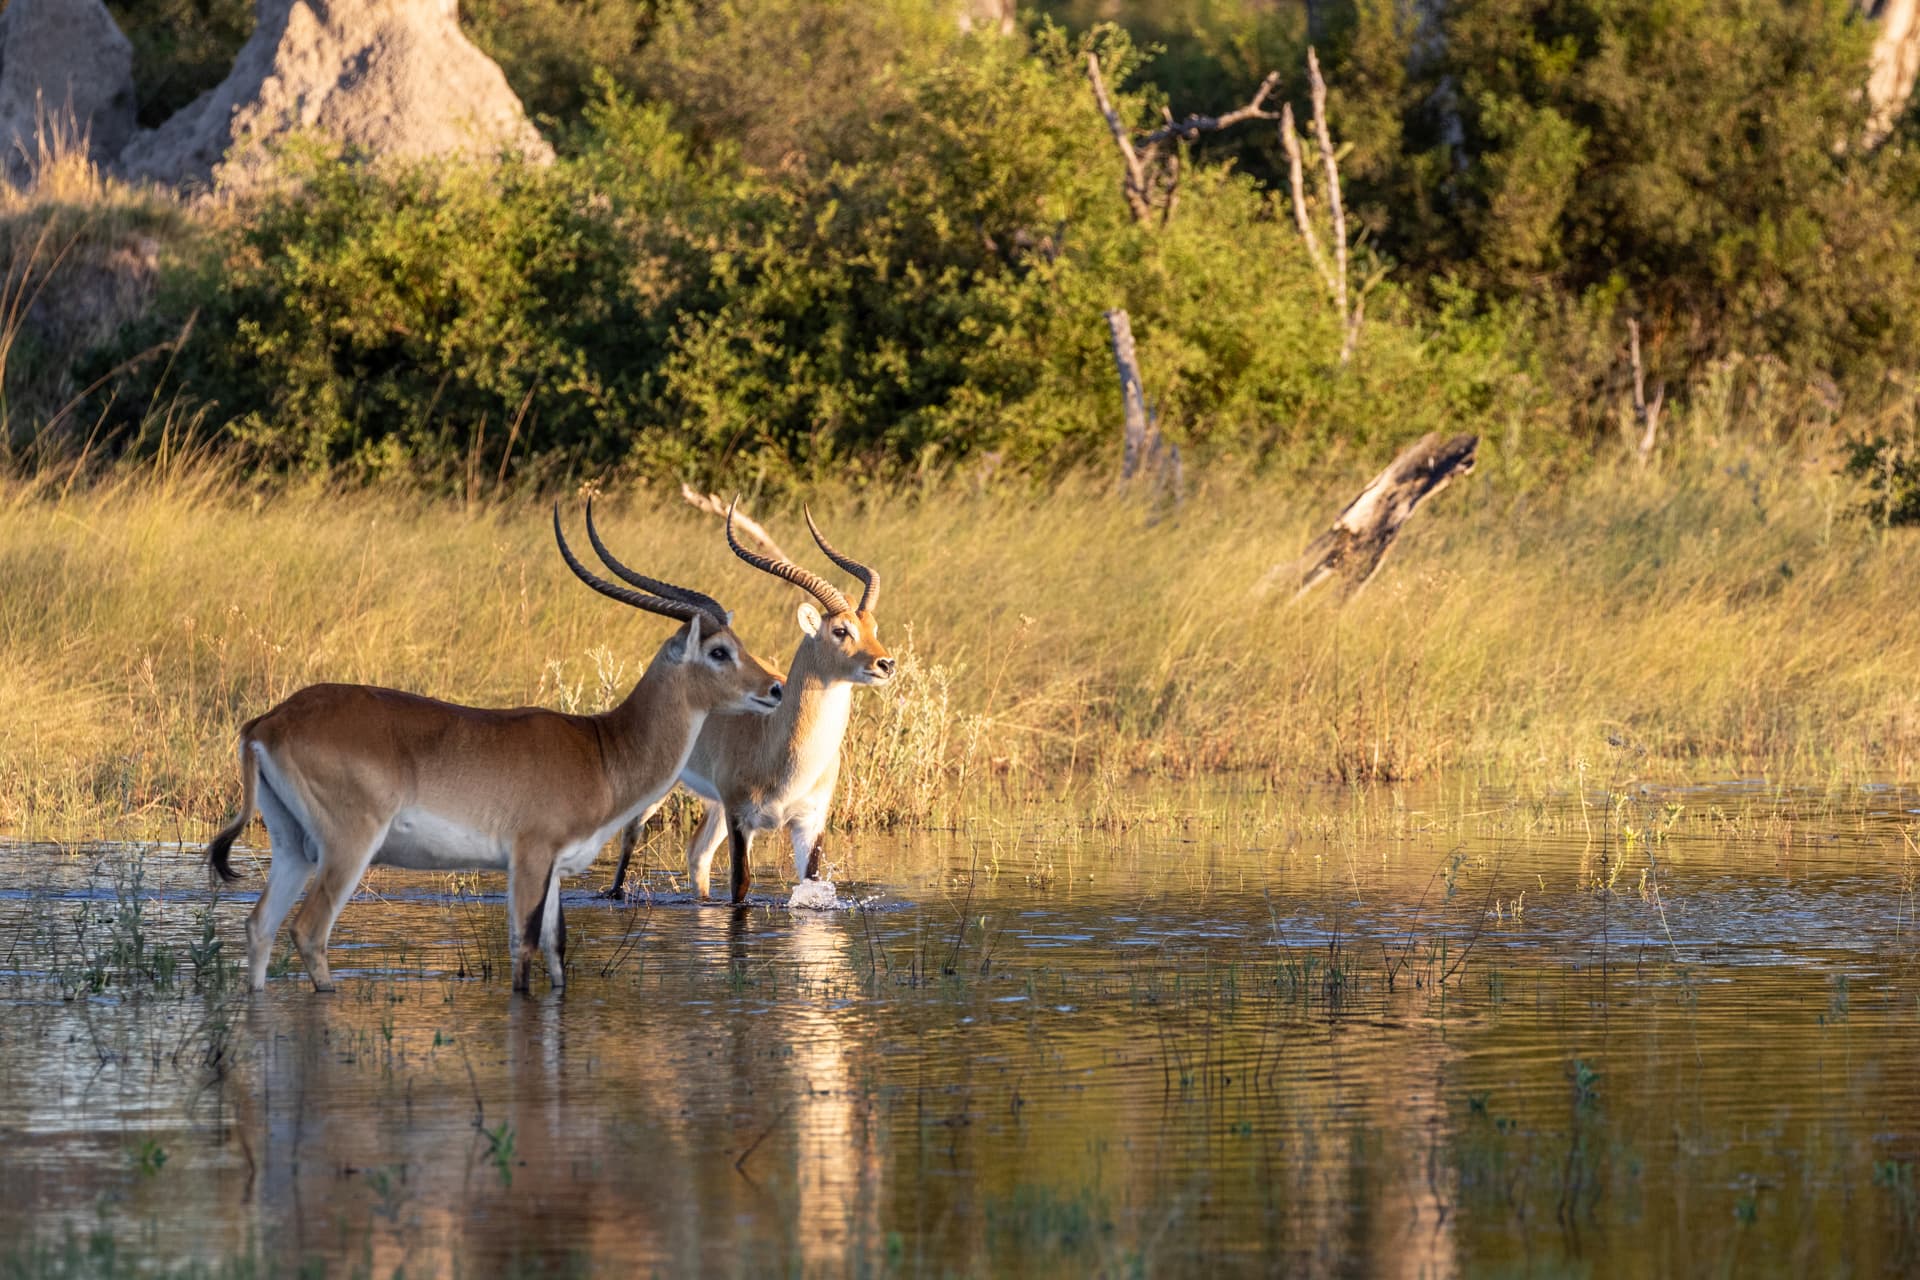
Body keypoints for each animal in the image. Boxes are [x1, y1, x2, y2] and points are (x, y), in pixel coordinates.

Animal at [204, 505, 786, 993]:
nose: (776, 687)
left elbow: (556, 953)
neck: (602, 749)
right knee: (308, 931)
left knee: (259, 927)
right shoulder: (529, 857)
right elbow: (523, 954)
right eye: (719, 651)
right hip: (347, 846)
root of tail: (269, 721)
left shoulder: (555, 870)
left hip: (292, 847)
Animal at [602, 503, 892, 903]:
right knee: (630, 834)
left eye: (873, 628)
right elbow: (740, 885)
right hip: (664, 788)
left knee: (698, 853)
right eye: (840, 630)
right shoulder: (741, 817)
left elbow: (810, 884)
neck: (777, 745)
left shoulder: (809, 822)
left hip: (714, 806)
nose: (885, 663)